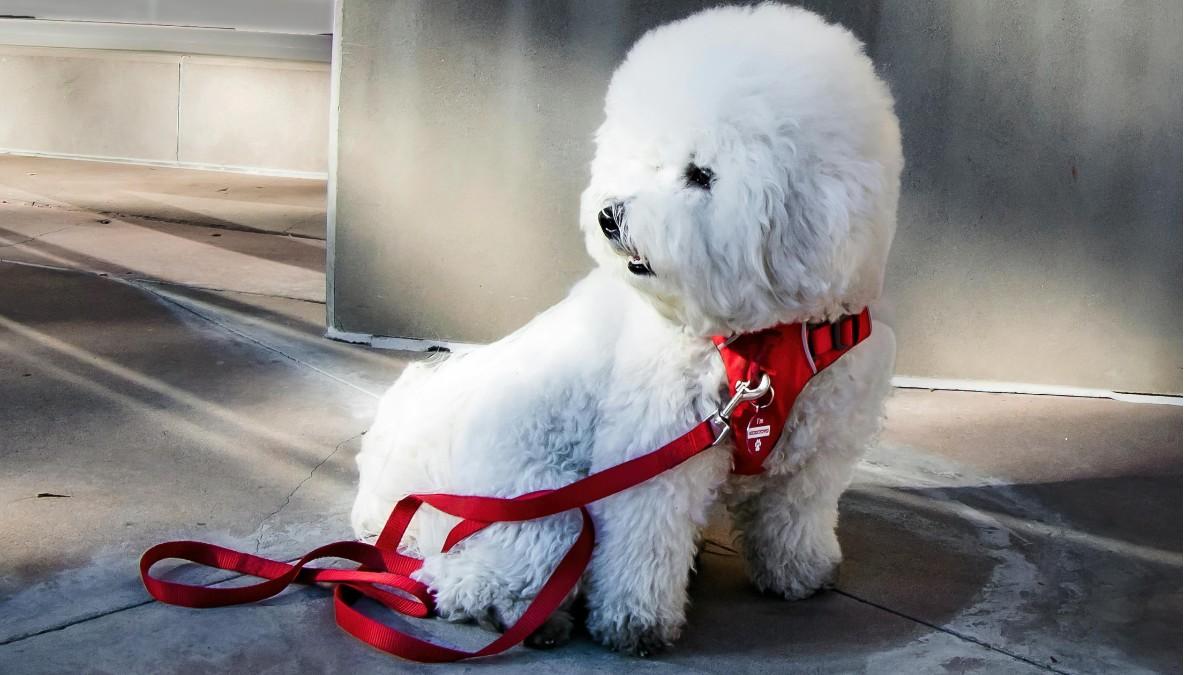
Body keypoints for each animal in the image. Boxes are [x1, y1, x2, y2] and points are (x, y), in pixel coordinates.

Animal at [350, 2, 897, 653]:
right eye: (647, 160)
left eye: (701, 175)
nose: (610, 215)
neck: (763, 339)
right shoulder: (654, 450)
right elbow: (644, 544)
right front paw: (636, 622)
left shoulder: (820, 446)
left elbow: (796, 513)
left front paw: (799, 572)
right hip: (535, 499)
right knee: (467, 576)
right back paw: (520, 615)